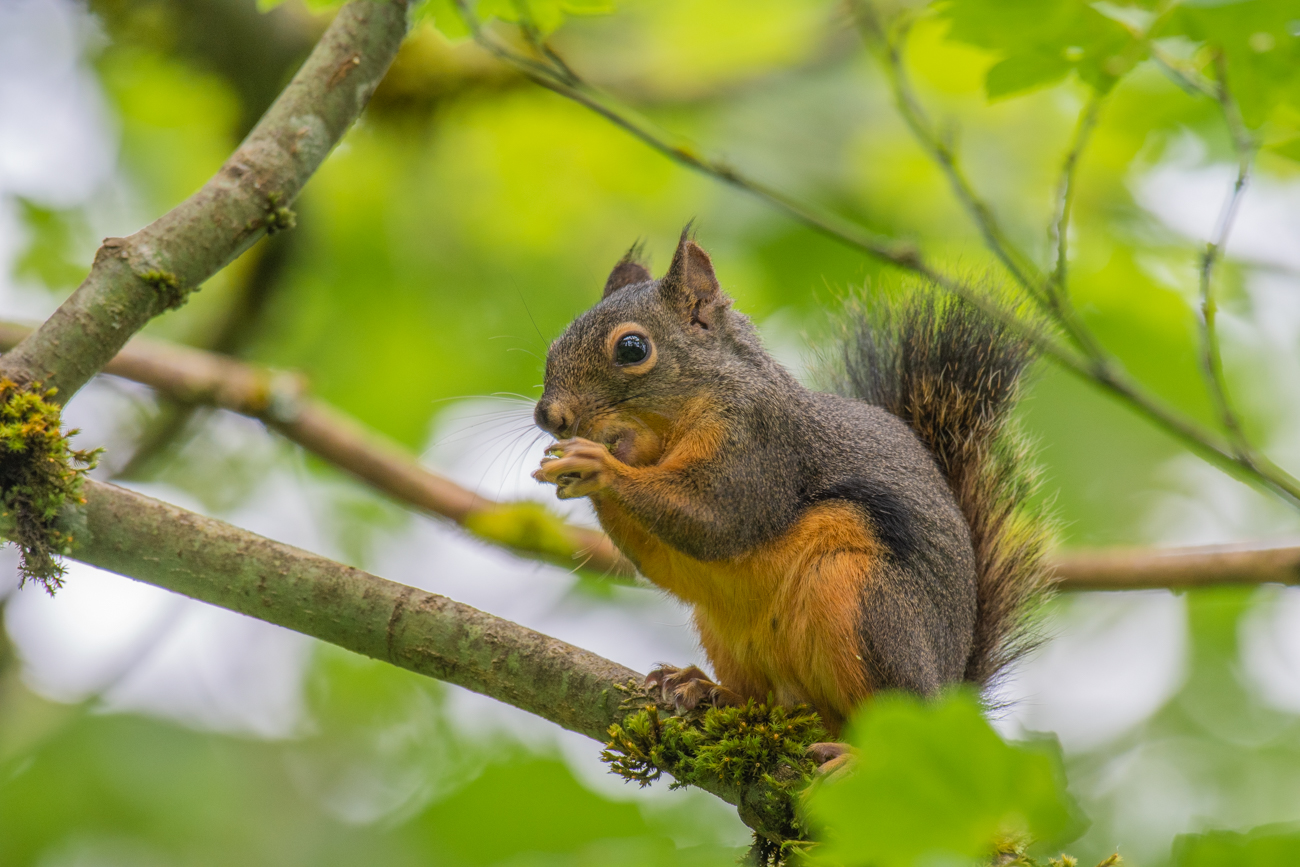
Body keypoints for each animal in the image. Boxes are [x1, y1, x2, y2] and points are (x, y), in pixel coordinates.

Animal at [533, 228, 1050, 748]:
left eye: (633, 349)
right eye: (552, 347)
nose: (549, 417)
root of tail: (946, 703)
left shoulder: (761, 442)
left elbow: (716, 517)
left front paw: (598, 465)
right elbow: (666, 561)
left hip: (868, 608)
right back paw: (707, 689)